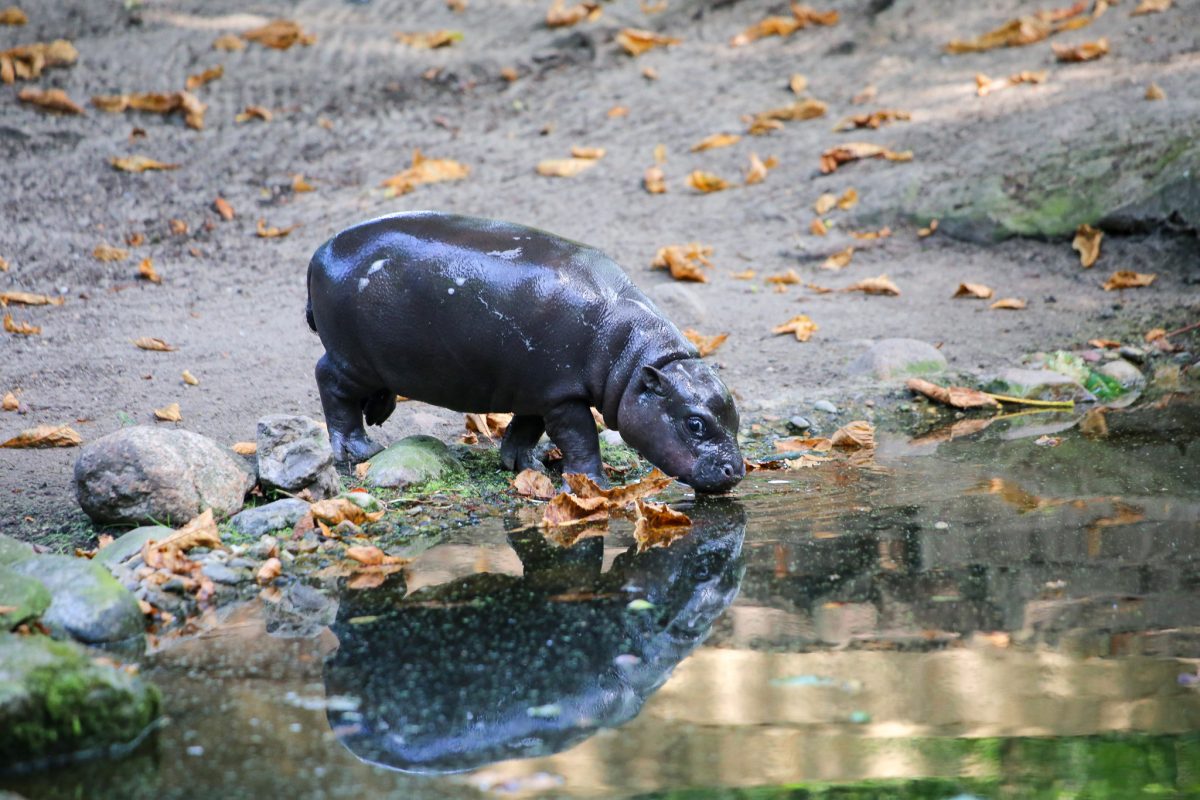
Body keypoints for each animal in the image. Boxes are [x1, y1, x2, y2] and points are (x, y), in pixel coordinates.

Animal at [304, 209, 744, 491]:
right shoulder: (563, 396)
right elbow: (581, 437)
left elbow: (525, 428)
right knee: (330, 384)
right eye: (695, 423)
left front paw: (525, 465)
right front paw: (593, 485)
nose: (737, 472)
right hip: (350, 359)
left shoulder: (538, 391)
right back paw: (359, 450)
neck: (635, 357)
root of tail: (319, 252)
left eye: (736, 417)